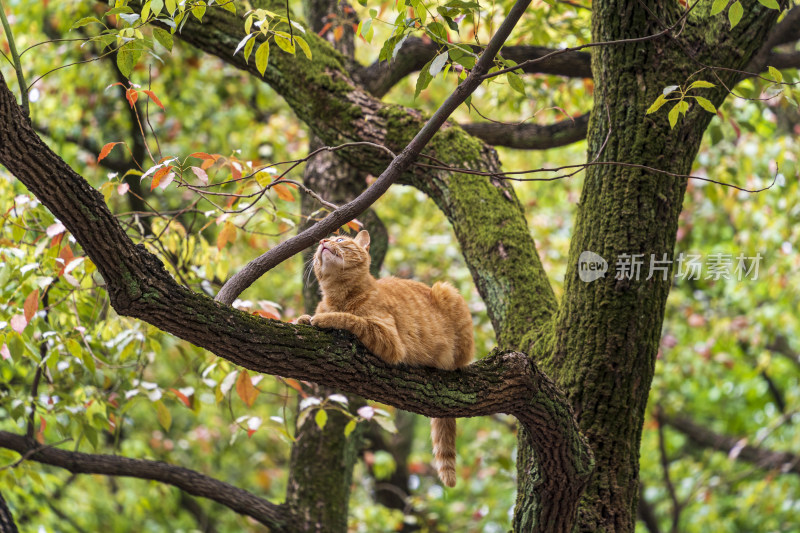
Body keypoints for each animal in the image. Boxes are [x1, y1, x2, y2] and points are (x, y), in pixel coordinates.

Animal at [298, 230, 476, 486]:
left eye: (340, 240)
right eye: (319, 245)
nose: (322, 241)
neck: (338, 296)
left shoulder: (389, 340)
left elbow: (351, 319)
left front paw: (325, 318)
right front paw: (304, 318)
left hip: (446, 291)